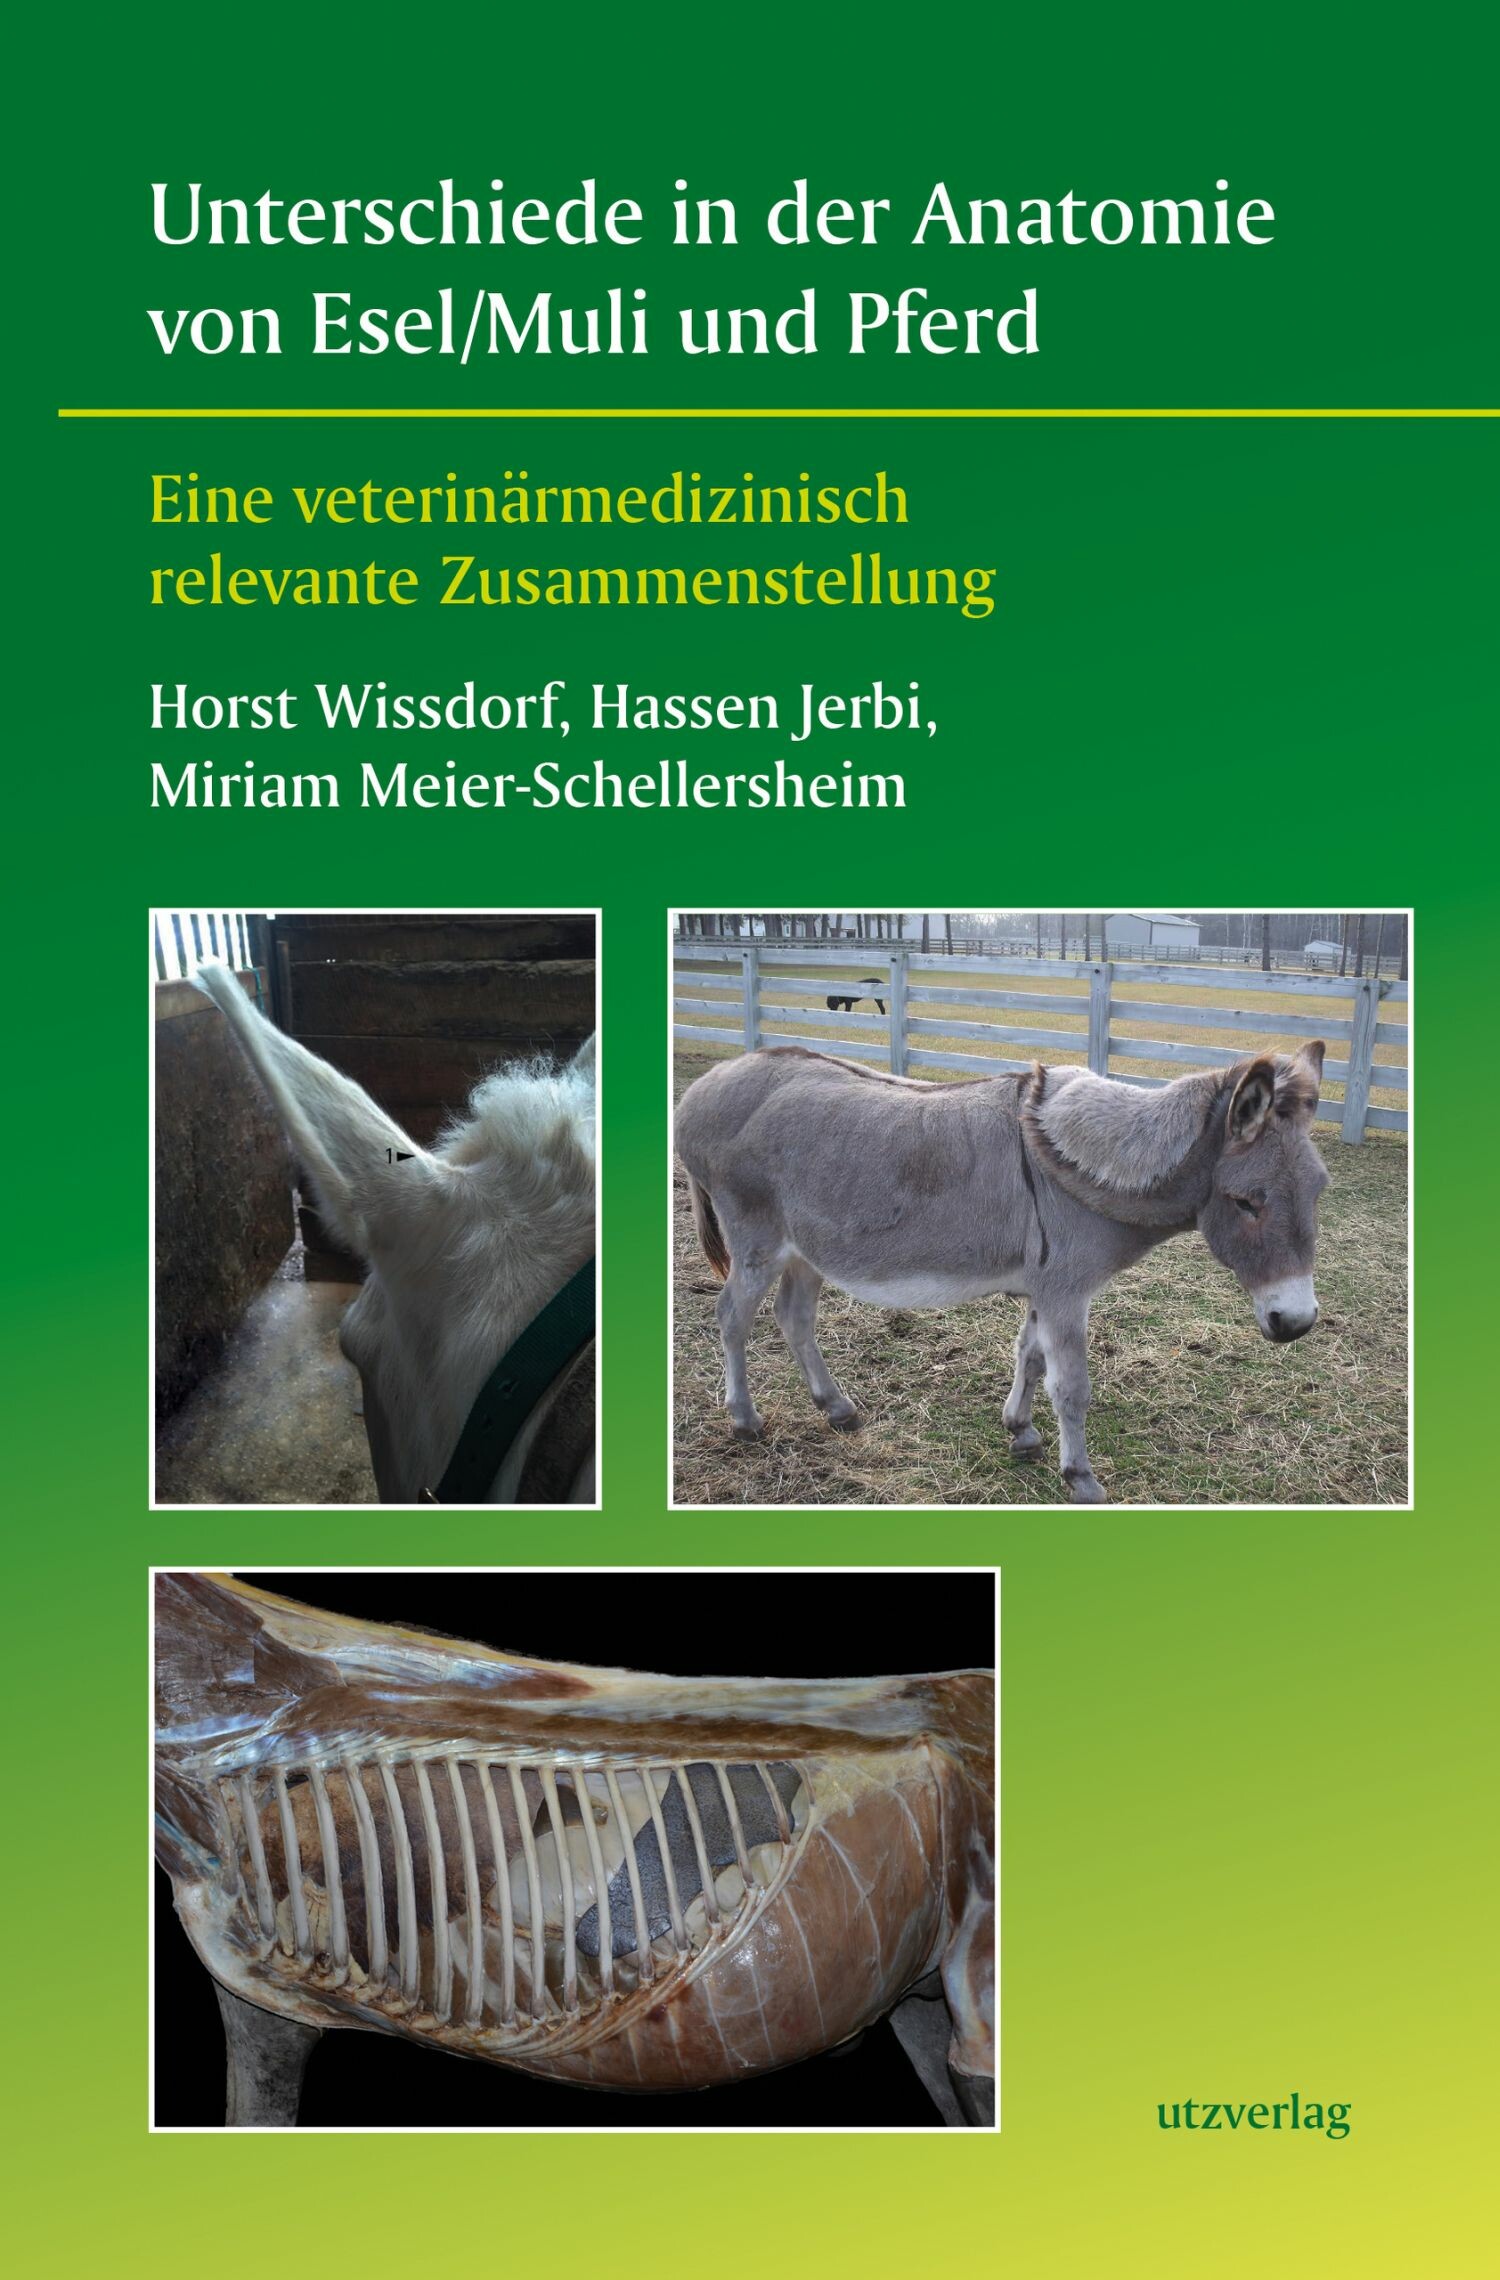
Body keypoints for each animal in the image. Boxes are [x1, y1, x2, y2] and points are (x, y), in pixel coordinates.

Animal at [676, 1042, 1329, 1503]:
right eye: (1246, 1201)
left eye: (1320, 1189)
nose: (1296, 1322)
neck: (1089, 1169)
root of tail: (706, 1086)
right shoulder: (1066, 1292)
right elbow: (1072, 1387)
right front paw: (1080, 1477)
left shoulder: (1045, 1287)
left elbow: (1030, 1356)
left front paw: (1021, 1430)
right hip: (758, 1242)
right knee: (731, 1318)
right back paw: (745, 1421)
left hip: (807, 1251)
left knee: (794, 1318)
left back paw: (836, 1408)